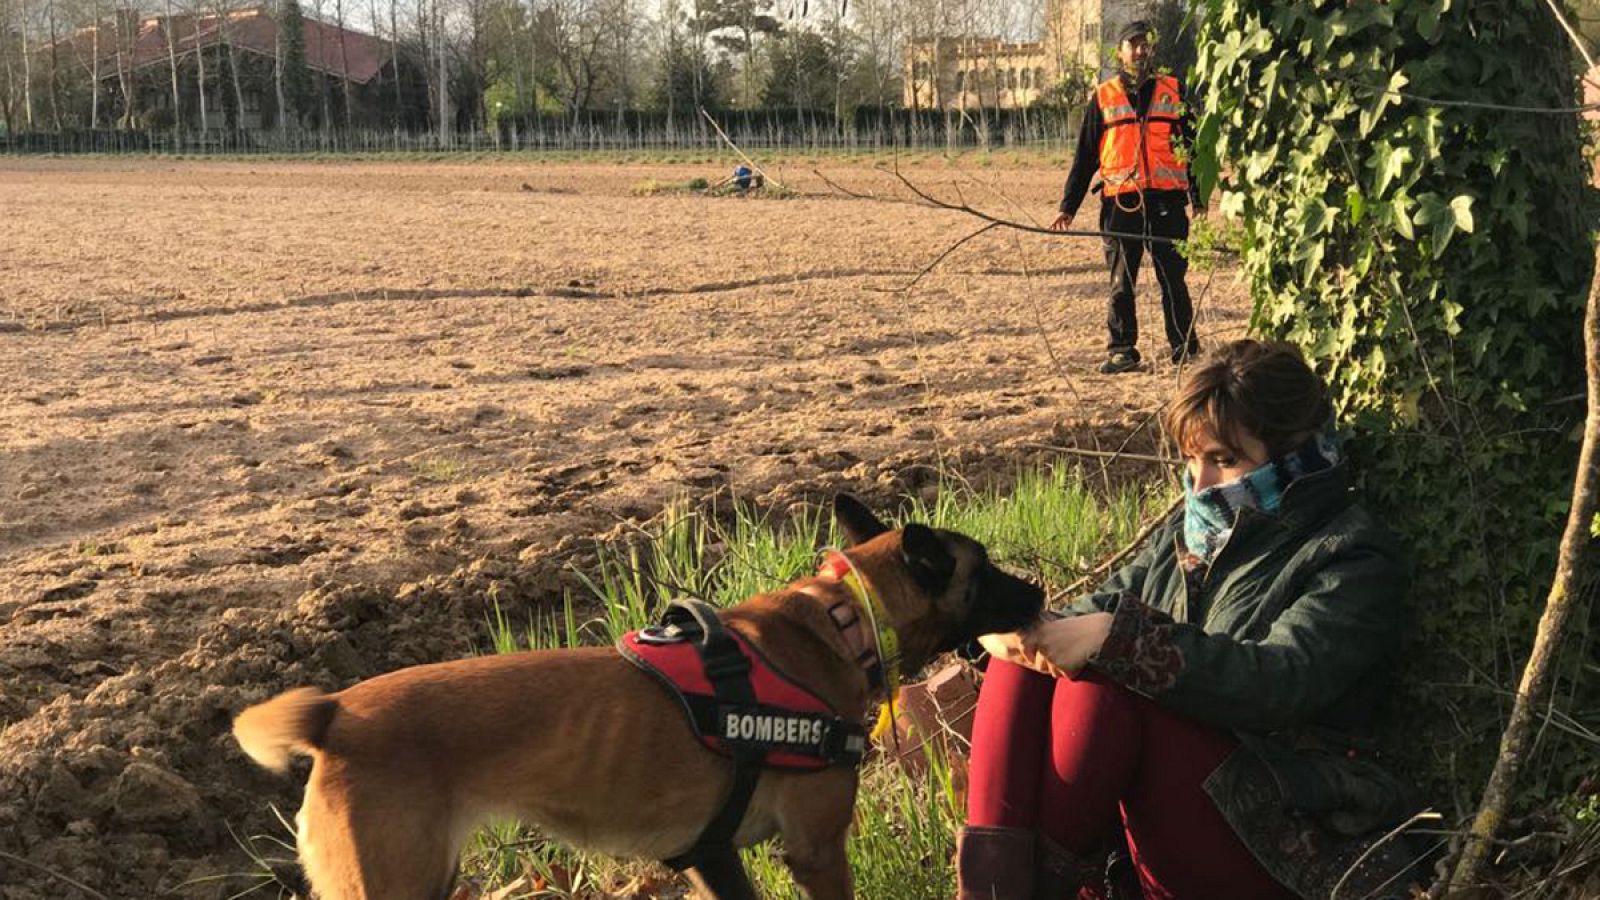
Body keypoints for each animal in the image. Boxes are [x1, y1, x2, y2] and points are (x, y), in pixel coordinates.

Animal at [232, 493, 1043, 896]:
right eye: (987, 572)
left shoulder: (712, 857)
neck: (843, 621)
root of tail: (335, 716)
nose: (1037, 591)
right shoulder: (816, 852)